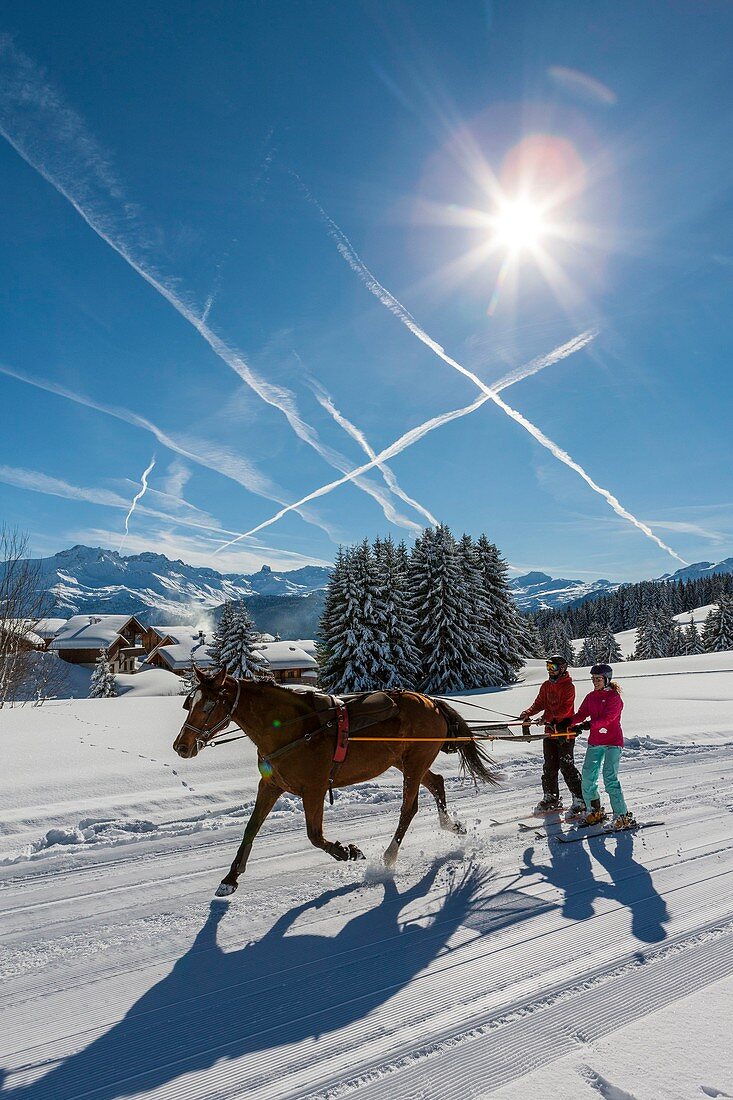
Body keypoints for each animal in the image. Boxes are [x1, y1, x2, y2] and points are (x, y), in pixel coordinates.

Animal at [172, 664, 497, 897]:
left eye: (209, 705)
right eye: (190, 703)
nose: (181, 746)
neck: (293, 729)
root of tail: (431, 702)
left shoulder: (313, 789)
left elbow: (315, 836)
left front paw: (347, 852)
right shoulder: (271, 785)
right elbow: (251, 829)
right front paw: (230, 878)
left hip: (415, 762)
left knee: (409, 808)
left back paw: (389, 856)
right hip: (406, 761)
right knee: (437, 782)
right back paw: (452, 825)